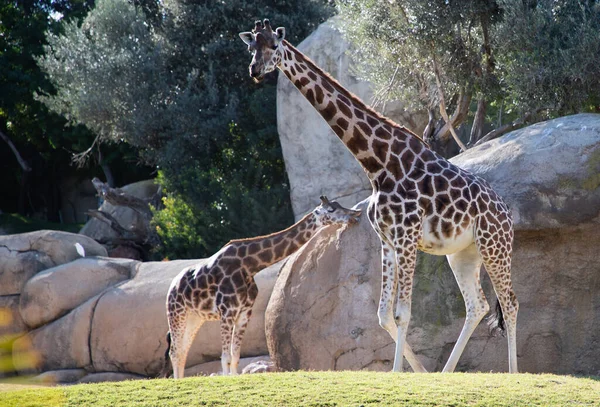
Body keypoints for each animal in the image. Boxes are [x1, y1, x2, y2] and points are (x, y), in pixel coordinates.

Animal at [159, 196, 360, 378]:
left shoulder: (244, 312)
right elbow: (225, 356)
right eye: (331, 210)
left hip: (195, 318)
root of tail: (172, 286)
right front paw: (227, 380)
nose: (356, 214)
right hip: (177, 313)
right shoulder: (227, 312)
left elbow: (235, 355)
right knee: (174, 351)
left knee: (183, 351)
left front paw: (235, 378)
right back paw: (177, 383)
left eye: (339, 204)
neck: (249, 266)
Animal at [241, 20, 516, 374]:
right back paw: (445, 373)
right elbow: (384, 314)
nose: (255, 70)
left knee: (509, 303)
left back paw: (514, 373)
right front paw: (414, 373)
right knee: (478, 305)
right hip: (462, 253)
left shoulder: (407, 236)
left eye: (274, 46)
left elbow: (403, 313)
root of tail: (507, 213)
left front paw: (400, 373)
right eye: (251, 47)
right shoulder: (387, 239)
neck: (378, 164)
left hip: (495, 246)